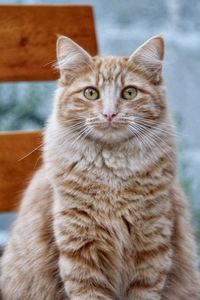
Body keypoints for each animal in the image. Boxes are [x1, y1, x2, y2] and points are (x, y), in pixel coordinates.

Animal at [0, 35, 199, 300]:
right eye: (91, 93)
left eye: (129, 93)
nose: (109, 114)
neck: (112, 173)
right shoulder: (80, 250)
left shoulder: (152, 248)